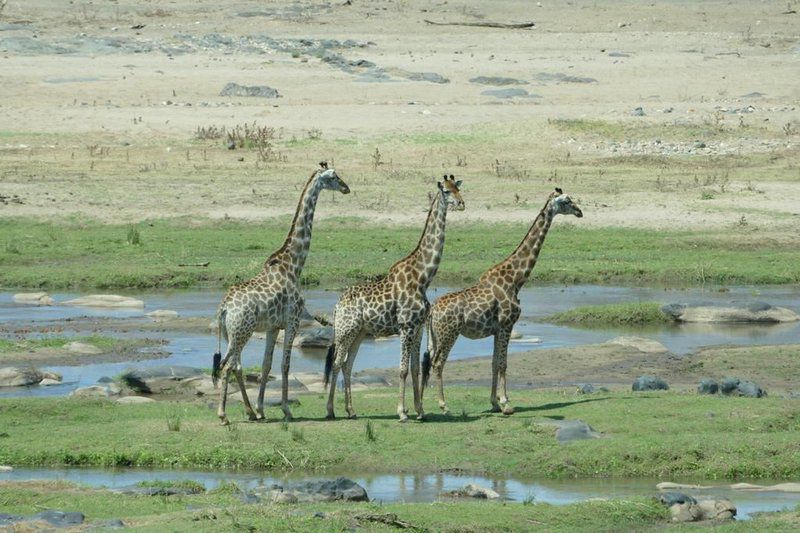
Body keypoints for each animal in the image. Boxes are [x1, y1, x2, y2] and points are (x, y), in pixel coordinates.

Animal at [212, 162, 350, 424]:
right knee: (227, 366)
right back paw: (223, 415)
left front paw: (261, 409)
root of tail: (223, 308)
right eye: (334, 177)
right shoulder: (292, 321)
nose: (347, 187)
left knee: (235, 366)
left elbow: (267, 365)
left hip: (230, 334)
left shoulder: (273, 326)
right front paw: (286, 410)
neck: (294, 264)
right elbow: (285, 365)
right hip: (242, 332)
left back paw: (249, 412)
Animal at [324, 177, 466, 422]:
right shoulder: (406, 326)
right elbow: (402, 369)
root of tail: (336, 306)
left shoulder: (418, 328)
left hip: (359, 332)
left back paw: (351, 410)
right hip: (345, 331)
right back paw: (331, 410)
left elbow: (415, 368)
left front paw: (420, 411)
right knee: (336, 363)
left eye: (459, 188)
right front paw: (402, 412)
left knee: (347, 365)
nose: (461, 203)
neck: (423, 277)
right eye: (447, 191)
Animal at [422, 187, 584, 416]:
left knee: (427, 364)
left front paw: (494, 402)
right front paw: (506, 403)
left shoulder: (496, 329)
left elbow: (493, 363)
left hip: (435, 337)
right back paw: (444, 406)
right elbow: (503, 363)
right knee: (438, 364)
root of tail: (432, 311)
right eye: (567, 201)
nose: (580, 211)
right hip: (448, 334)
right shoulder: (508, 324)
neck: (516, 279)